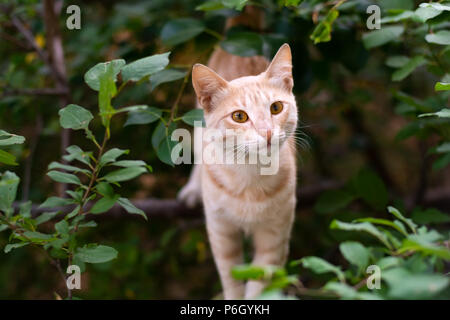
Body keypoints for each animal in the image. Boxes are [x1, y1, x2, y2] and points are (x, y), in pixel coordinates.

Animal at [178, 41, 298, 298]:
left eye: (276, 108)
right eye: (239, 116)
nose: (267, 132)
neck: (250, 175)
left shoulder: (275, 237)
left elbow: (259, 283)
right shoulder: (221, 232)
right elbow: (231, 279)